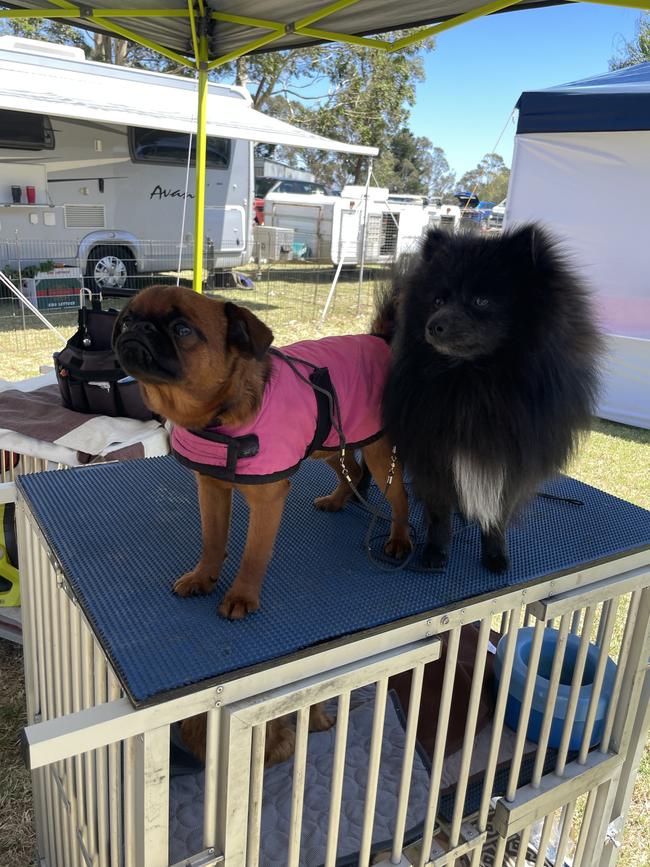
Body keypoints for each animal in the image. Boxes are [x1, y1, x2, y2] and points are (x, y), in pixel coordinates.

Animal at [111, 288, 408, 620]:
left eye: (182, 330)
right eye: (126, 322)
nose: (139, 328)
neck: (219, 417)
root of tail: (378, 339)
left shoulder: (267, 501)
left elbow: (254, 554)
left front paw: (242, 595)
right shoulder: (211, 489)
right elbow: (212, 540)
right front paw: (203, 577)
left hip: (378, 456)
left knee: (400, 497)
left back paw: (400, 539)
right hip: (332, 442)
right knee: (353, 472)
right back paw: (336, 500)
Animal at [374, 227, 604, 572]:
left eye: (481, 300)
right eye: (438, 300)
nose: (434, 325)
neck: (476, 382)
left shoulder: (514, 458)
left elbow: (499, 513)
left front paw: (495, 554)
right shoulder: (433, 452)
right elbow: (439, 511)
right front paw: (436, 552)